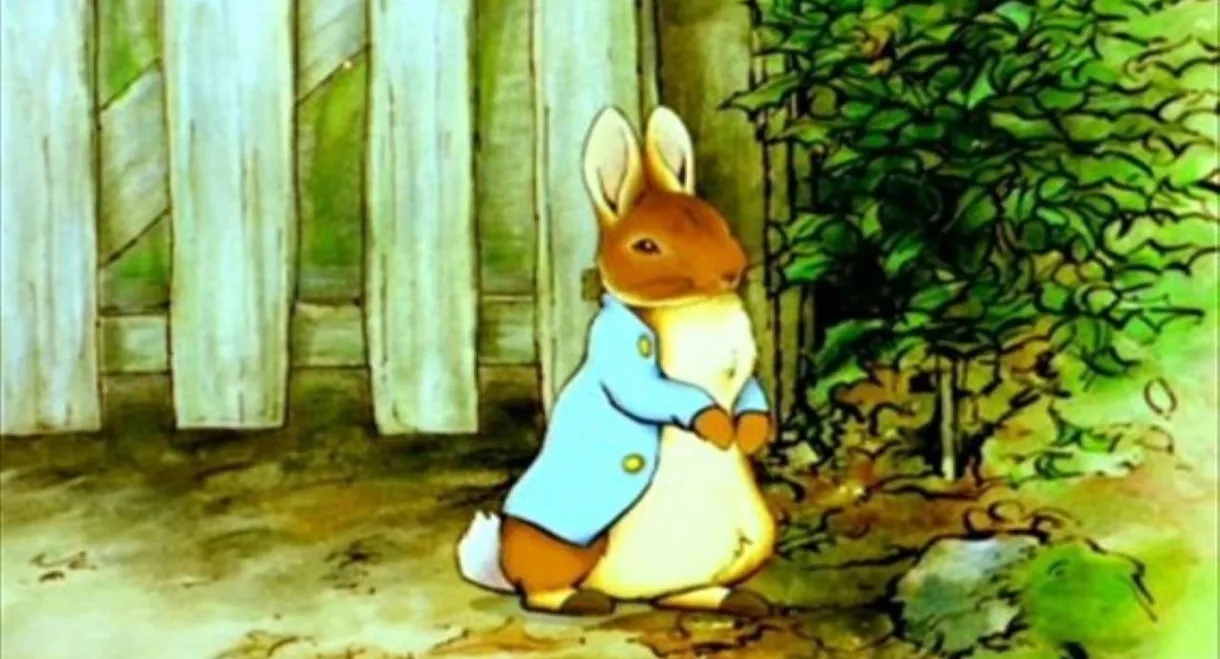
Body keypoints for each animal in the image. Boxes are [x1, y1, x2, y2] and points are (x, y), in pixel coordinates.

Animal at [456, 105, 776, 618]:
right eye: (646, 246)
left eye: (717, 221)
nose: (732, 271)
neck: (687, 306)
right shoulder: (625, 364)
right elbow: (654, 392)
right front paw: (718, 431)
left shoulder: (746, 378)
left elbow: (751, 394)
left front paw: (747, 437)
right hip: (560, 547)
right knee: (539, 592)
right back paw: (583, 602)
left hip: (751, 539)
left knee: (680, 593)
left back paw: (737, 600)